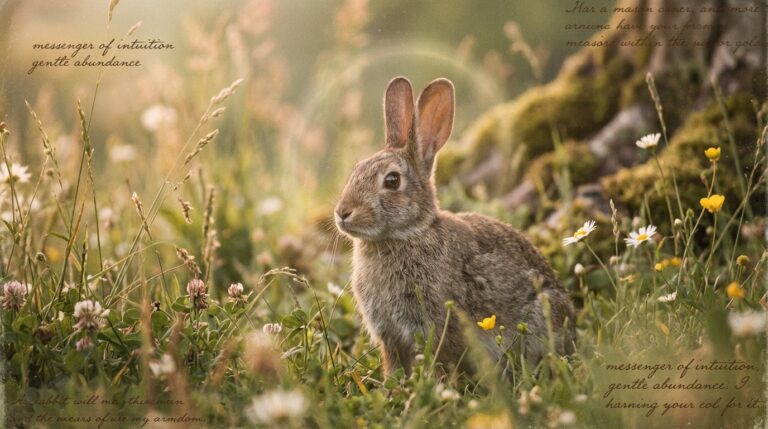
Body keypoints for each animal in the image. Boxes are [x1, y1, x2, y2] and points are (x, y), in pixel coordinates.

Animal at [334, 76, 575, 377]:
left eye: (392, 181)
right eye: (355, 171)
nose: (342, 213)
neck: (408, 234)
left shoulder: (437, 327)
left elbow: (441, 362)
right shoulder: (390, 336)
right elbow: (394, 365)